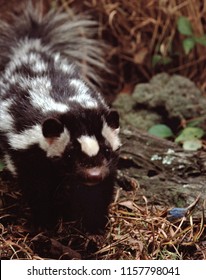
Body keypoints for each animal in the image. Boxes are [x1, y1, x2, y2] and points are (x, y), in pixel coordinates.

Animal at [0, 3, 120, 232]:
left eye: (107, 150)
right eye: (70, 154)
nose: (93, 175)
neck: (71, 106)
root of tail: (32, 50)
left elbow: (97, 192)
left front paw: (94, 223)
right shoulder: (28, 150)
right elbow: (37, 188)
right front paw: (46, 222)